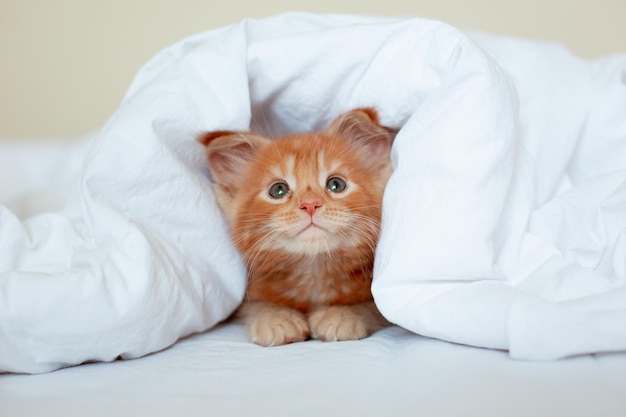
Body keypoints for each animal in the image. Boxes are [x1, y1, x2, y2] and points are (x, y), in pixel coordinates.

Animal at [197, 108, 392, 344]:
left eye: (336, 185)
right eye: (278, 190)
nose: (310, 204)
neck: (313, 271)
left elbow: (373, 307)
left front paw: (343, 314)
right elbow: (256, 306)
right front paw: (276, 317)